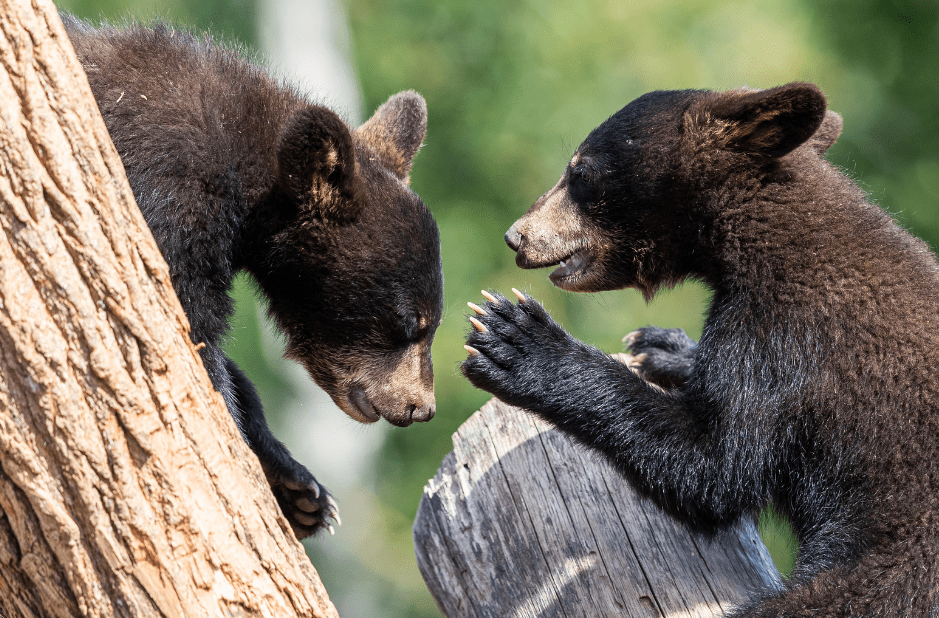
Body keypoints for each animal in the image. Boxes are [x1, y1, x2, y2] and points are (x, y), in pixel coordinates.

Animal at [63, 16, 443, 538]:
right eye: (408, 323)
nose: (420, 407)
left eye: (433, 321)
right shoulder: (162, 194)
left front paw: (301, 488)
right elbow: (189, 328)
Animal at [462, 82, 939, 615]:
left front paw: (519, 342)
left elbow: (715, 463)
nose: (516, 236)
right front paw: (664, 348)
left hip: (888, 573)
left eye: (580, 173)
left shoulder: (790, 337)